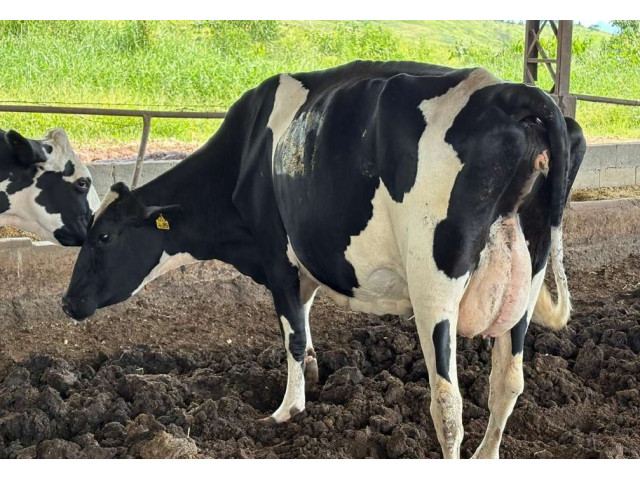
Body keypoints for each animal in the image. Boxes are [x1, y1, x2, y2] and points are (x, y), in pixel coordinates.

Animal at [61, 61, 586, 458]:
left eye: (103, 236)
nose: (67, 302)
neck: (245, 157)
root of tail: (515, 93)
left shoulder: (276, 258)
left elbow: (291, 333)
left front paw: (287, 409)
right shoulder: (305, 264)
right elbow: (305, 320)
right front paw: (313, 372)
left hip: (434, 283)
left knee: (448, 403)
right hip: (526, 280)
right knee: (507, 383)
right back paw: (486, 456)